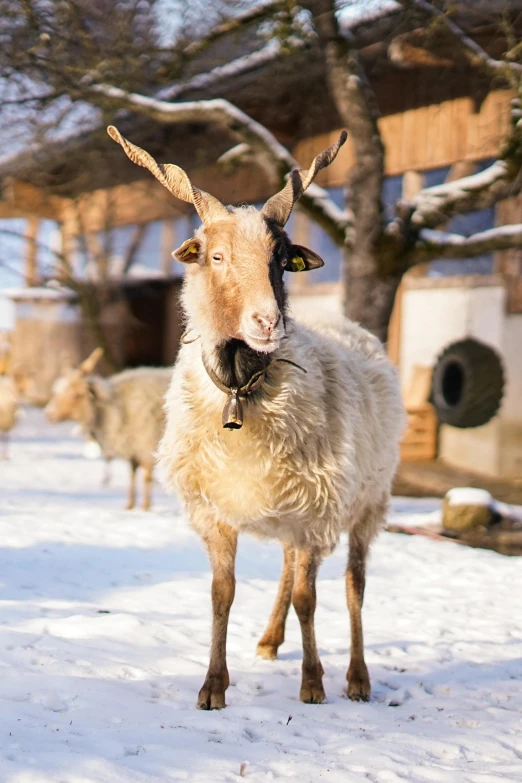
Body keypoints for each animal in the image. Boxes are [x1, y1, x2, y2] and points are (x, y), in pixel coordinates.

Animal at [44, 350, 170, 512]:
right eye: (57, 392)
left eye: (75, 395)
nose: (49, 414)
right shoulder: (131, 446)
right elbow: (132, 474)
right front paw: (130, 505)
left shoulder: (145, 444)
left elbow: (146, 477)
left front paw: (145, 507)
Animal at [107, 124, 404, 712]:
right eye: (216, 256)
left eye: (281, 259)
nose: (267, 321)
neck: (241, 393)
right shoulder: (216, 510)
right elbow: (223, 593)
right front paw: (212, 686)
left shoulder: (316, 511)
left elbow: (311, 598)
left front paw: (312, 683)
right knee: (290, 571)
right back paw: (270, 640)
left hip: (366, 500)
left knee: (353, 585)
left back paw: (357, 676)